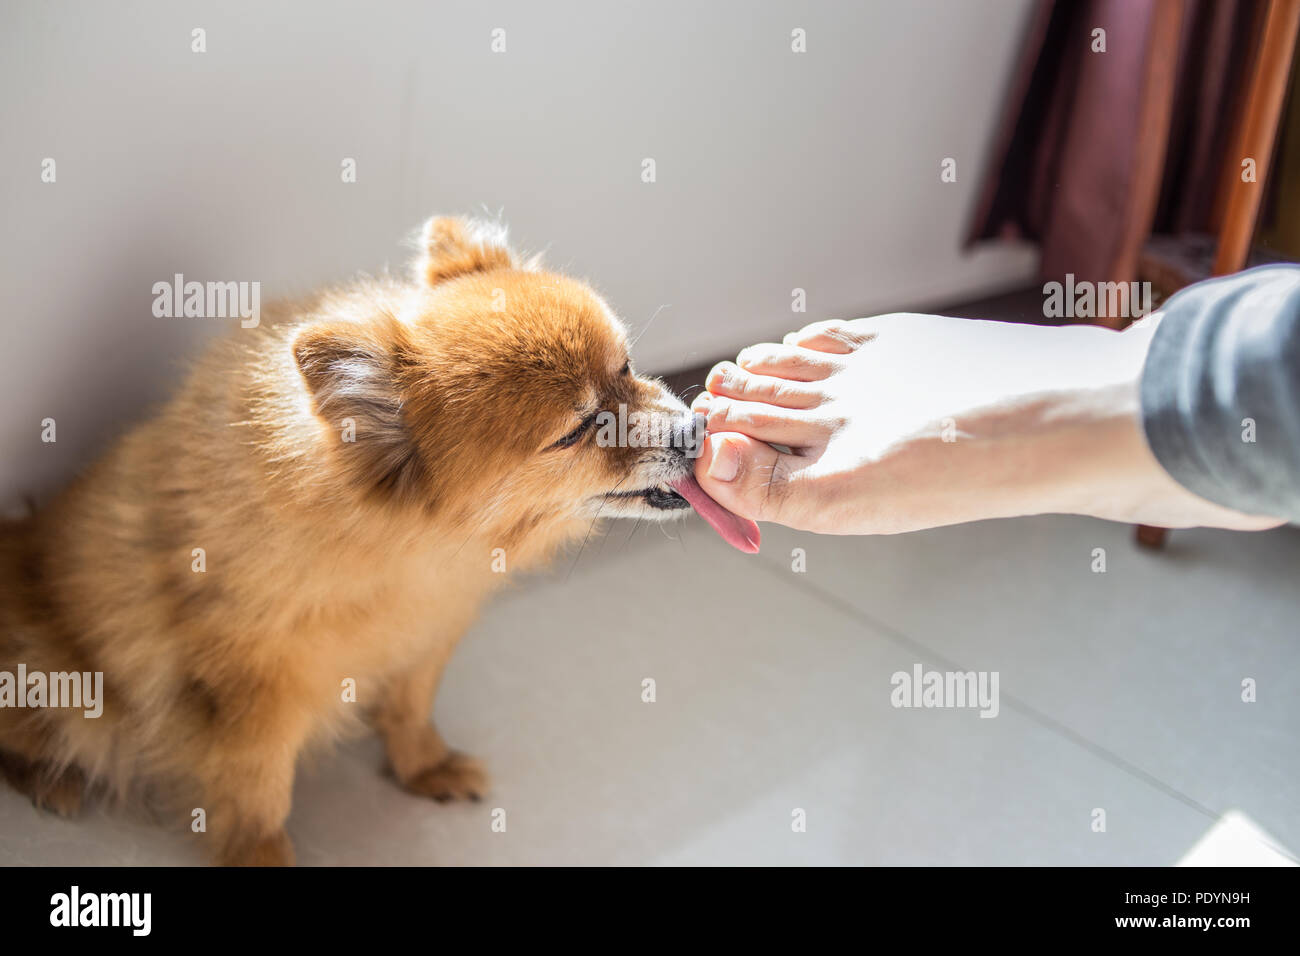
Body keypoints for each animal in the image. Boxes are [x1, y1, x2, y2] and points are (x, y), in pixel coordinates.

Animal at [0, 218, 759, 868]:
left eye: (626, 367)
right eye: (577, 430)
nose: (693, 429)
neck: (417, 553)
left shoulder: (426, 637)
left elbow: (409, 709)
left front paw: (423, 767)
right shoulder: (252, 695)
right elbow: (256, 792)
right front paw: (263, 856)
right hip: (62, 683)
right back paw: (51, 780)